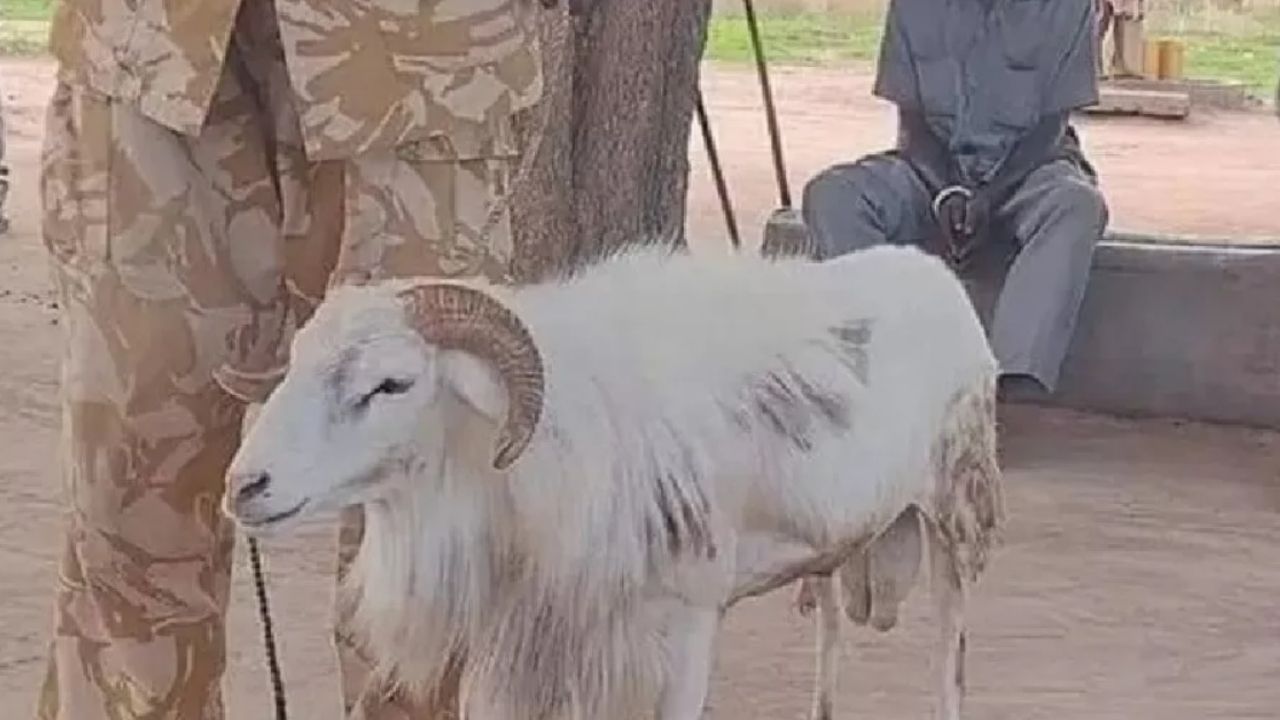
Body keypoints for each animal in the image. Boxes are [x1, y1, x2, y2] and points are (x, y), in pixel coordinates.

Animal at [219, 243, 1006, 720]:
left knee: (953, 657)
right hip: (838, 555)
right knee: (833, 637)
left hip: (958, 522)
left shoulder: (688, 623)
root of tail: (934, 271)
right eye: (295, 363)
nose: (244, 487)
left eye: (392, 383)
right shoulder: (533, 642)